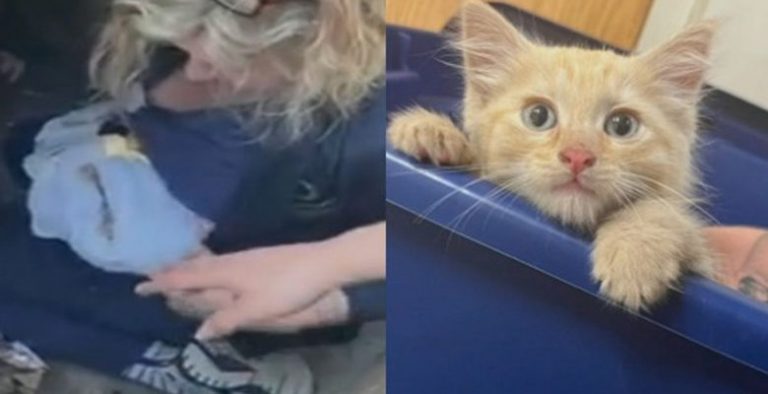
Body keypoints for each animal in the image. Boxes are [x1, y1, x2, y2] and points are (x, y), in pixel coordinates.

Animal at [390, 2, 720, 310]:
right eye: (538, 116)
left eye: (622, 125)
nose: (577, 156)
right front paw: (429, 130)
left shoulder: (704, 258)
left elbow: (663, 212)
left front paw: (635, 254)